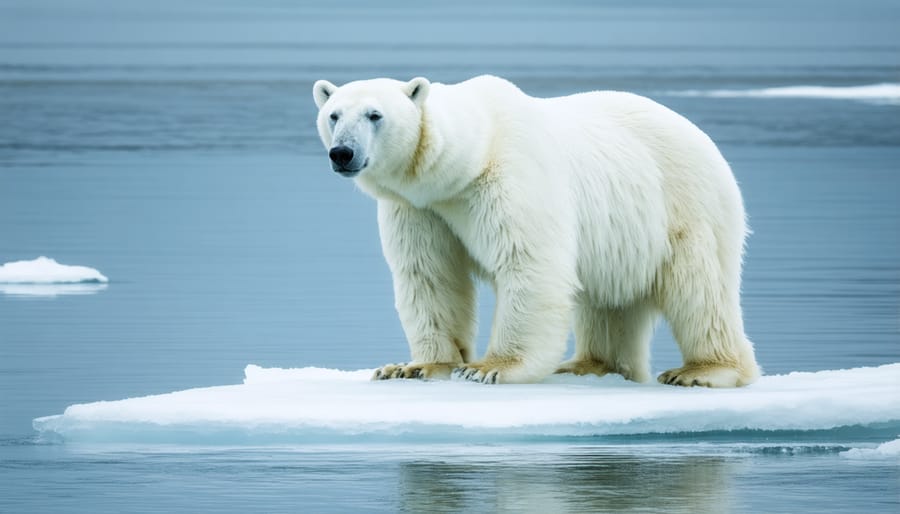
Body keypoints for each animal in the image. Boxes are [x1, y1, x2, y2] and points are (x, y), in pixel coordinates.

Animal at [312, 75, 764, 384]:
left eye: (375, 115)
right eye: (333, 115)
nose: (342, 152)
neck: (469, 159)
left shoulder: (510, 178)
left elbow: (528, 262)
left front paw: (490, 368)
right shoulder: (421, 209)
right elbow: (430, 276)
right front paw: (413, 366)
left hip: (686, 203)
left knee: (699, 289)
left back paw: (701, 371)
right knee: (609, 299)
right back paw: (587, 364)